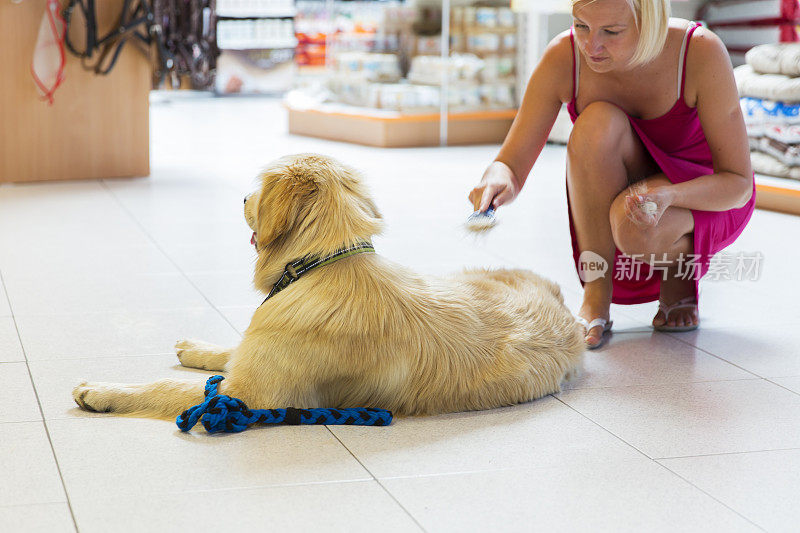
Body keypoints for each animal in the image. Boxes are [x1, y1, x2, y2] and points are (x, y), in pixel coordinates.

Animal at [72, 154, 584, 420]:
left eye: (257, 191)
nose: (241, 197)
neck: (321, 265)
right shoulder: (259, 346)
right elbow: (230, 349)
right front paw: (197, 347)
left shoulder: (247, 396)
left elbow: (164, 387)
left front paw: (103, 390)